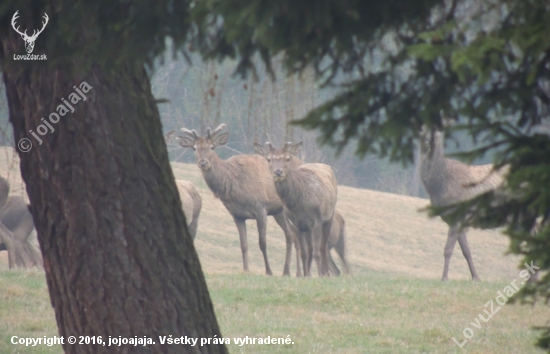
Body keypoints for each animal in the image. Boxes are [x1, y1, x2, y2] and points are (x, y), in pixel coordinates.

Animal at [176, 124, 302, 276]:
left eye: (212, 147)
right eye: (194, 148)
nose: (203, 162)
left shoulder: (261, 207)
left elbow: (262, 242)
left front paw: (269, 271)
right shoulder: (237, 214)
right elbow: (244, 245)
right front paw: (246, 270)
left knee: (295, 234)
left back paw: (294, 272)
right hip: (278, 212)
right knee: (291, 234)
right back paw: (291, 272)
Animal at [422, 126, 508, 280]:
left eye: (436, 130)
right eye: (421, 127)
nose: (427, 140)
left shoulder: (458, 216)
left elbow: (448, 250)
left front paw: (444, 278)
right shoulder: (455, 220)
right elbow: (466, 251)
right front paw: (476, 278)